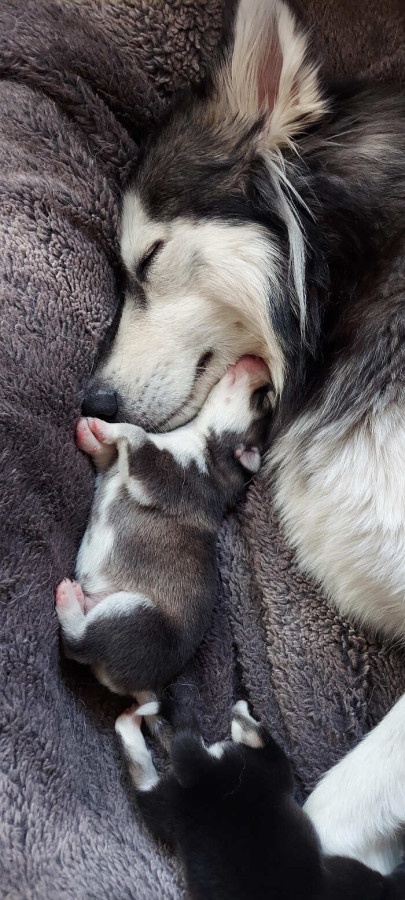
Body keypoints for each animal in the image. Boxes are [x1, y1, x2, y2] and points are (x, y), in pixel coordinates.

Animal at [53, 358, 268, 696]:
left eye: (263, 399)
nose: (259, 362)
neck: (206, 443)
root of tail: (146, 687)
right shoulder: (119, 465)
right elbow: (108, 454)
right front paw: (90, 435)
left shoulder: (159, 470)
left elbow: (135, 434)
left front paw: (103, 426)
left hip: (134, 615)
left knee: (78, 643)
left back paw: (69, 601)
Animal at [114, 700, 405, 900]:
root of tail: (203, 772)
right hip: (272, 771)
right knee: (256, 736)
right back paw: (240, 711)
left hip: (168, 808)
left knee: (141, 774)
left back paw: (128, 722)